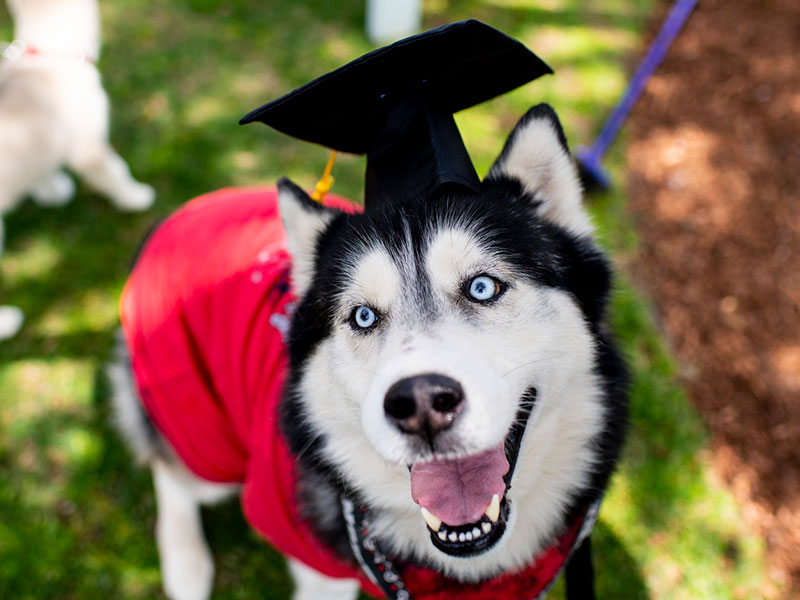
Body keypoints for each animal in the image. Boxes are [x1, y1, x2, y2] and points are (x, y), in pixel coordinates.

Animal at [0, 0, 155, 340]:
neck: (47, 58)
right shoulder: (89, 148)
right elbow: (116, 171)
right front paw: (135, 197)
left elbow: (44, 173)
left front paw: (54, 192)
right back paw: (8, 322)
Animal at [111, 105, 624, 596]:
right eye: (362, 316)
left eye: (482, 287)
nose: (421, 403)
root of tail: (179, 216)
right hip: (197, 424)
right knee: (171, 470)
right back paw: (186, 563)